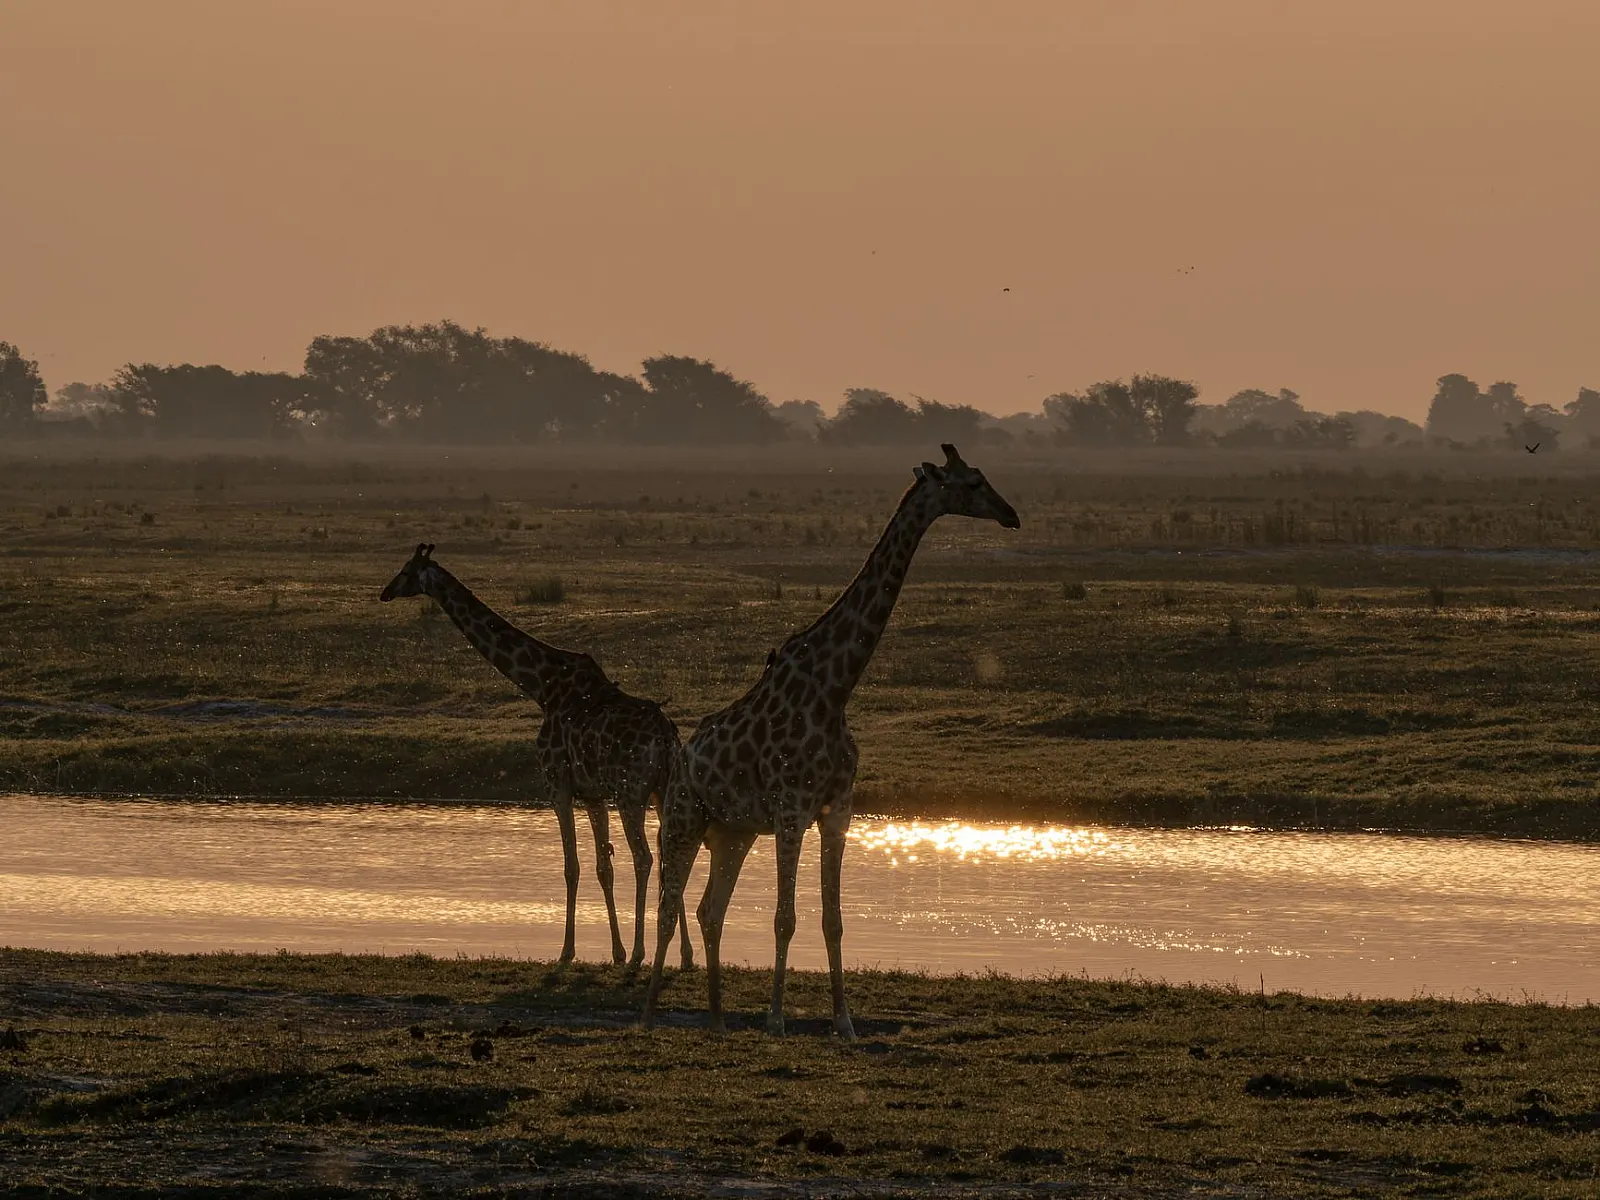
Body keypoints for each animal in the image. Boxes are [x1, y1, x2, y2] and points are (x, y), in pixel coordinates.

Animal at [380, 544, 692, 968]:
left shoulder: (556, 784)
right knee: (671, 852)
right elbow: (603, 867)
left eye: (405, 570)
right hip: (663, 790)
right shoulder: (592, 794)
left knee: (644, 857)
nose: (385, 593)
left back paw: (645, 951)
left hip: (632, 794)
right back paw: (684, 954)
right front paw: (616, 951)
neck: (541, 686)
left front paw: (568, 950)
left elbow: (571, 867)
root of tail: (667, 737)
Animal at [642, 445, 1020, 1038]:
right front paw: (775, 1020)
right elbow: (784, 917)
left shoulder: (837, 808)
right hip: (684, 819)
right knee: (668, 905)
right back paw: (649, 1013)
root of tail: (679, 761)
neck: (834, 688)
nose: (1012, 515)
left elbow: (832, 919)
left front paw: (844, 1021)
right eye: (973, 482)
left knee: (708, 910)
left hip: (732, 832)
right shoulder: (793, 808)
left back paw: (719, 1020)